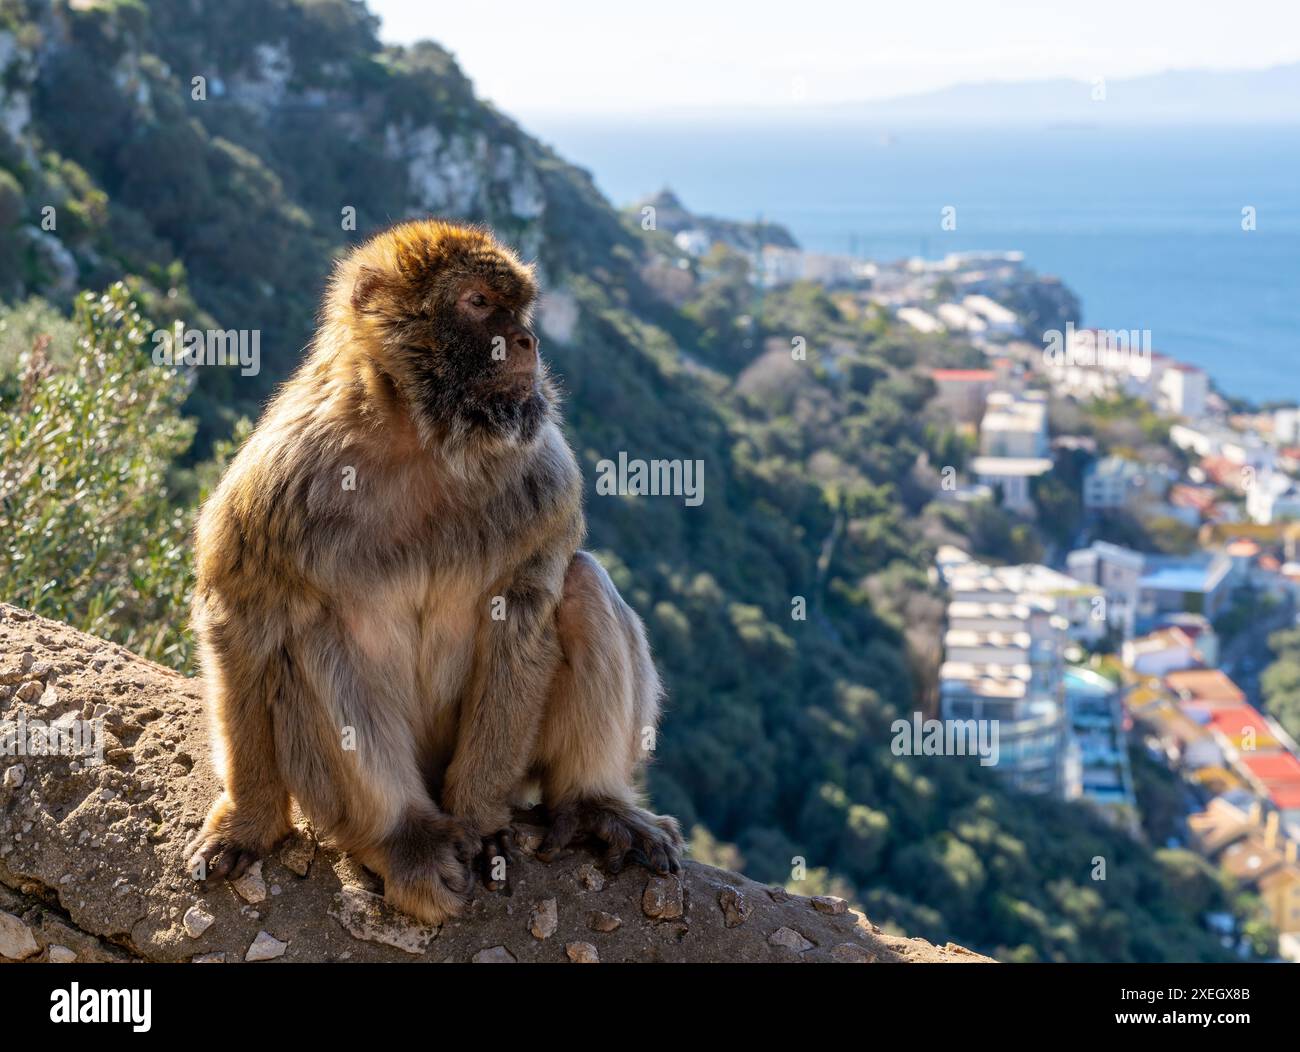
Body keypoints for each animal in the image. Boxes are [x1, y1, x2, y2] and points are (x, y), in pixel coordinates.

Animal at [185, 219, 683, 924]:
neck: (422, 438)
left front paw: (478, 821)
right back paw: (405, 841)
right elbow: (244, 613)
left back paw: (591, 804)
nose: (527, 341)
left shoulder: (543, 473)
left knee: (581, 585)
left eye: (520, 309)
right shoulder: (284, 471)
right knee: (308, 632)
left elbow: (520, 616)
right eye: (478, 303)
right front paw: (249, 819)